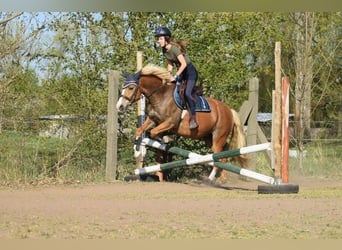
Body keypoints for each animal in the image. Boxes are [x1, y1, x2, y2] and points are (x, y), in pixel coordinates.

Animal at [116, 64, 247, 182]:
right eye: (123, 87)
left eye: (131, 88)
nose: (119, 106)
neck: (160, 95)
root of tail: (229, 110)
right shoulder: (152, 120)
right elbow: (140, 130)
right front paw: (137, 150)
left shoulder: (170, 122)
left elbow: (153, 132)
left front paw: (162, 140)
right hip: (209, 138)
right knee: (222, 157)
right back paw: (222, 179)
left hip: (218, 137)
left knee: (218, 156)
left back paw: (210, 179)